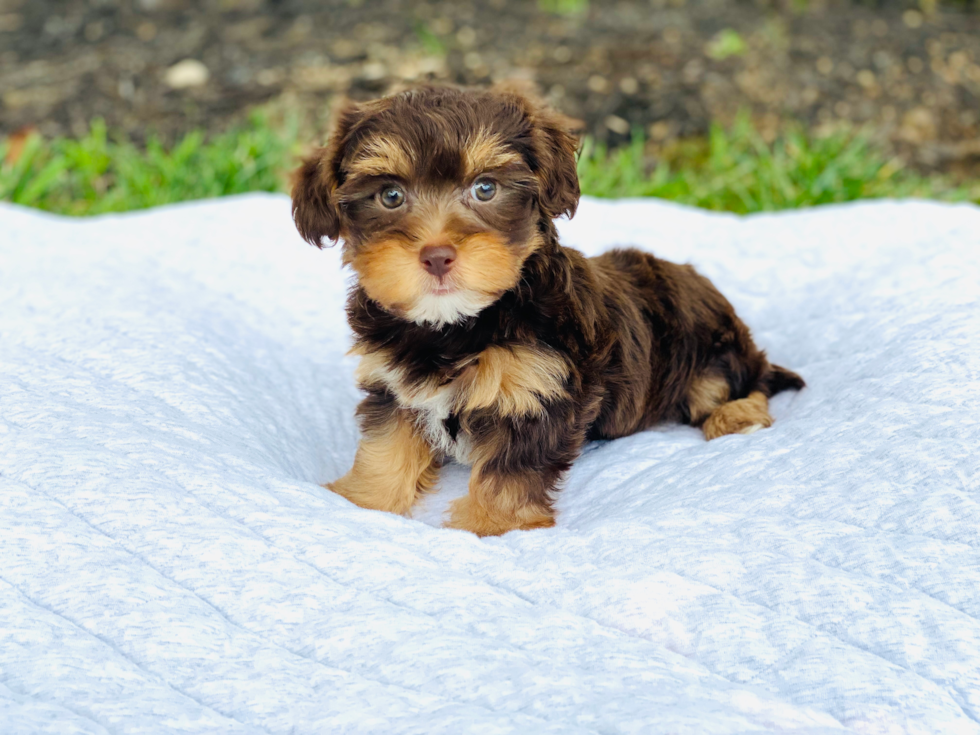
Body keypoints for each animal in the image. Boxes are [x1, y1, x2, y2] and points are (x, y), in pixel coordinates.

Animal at [292, 86, 804, 536]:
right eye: (390, 196)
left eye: (485, 188)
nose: (437, 256)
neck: (456, 325)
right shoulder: (394, 386)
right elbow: (386, 446)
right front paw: (362, 501)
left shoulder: (538, 392)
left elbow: (510, 470)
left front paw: (492, 527)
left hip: (712, 353)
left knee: (750, 381)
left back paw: (735, 415)